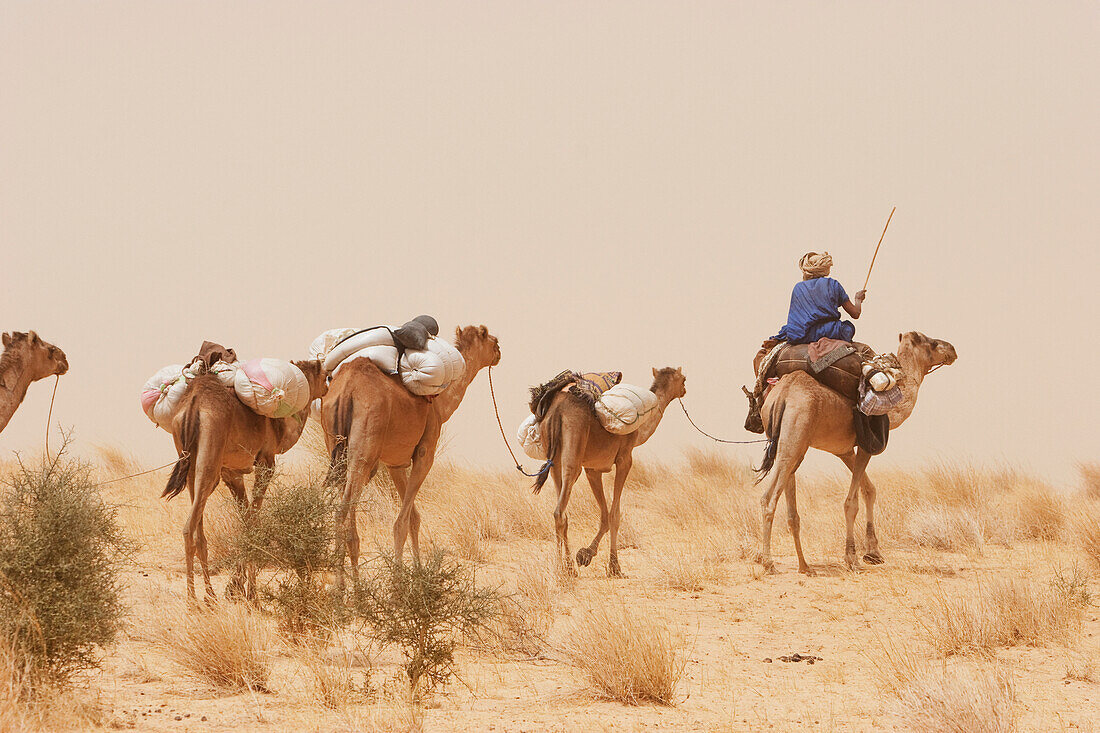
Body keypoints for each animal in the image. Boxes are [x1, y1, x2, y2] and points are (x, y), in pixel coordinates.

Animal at [161, 356, 325, 603]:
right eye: (326, 375)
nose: (327, 388)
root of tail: (193, 406)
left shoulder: (232, 473)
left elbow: (245, 521)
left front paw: (236, 586)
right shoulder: (266, 463)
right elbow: (253, 521)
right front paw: (250, 594)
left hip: (190, 462)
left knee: (199, 531)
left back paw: (210, 596)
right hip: (209, 461)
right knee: (189, 527)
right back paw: (193, 602)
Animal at [321, 323, 503, 585]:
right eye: (493, 341)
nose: (499, 354)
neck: (440, 404)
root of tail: (347, 388)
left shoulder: (395, 464)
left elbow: (414, 518)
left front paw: (416, 572)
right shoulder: (425, 453)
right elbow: (402, 522)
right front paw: (401, 582)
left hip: (336, 446)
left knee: (346, 521)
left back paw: (354, 588)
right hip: (363, 447)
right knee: (342, 513)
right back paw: (342, 590)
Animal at [532, 365, 686, 576]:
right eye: (684, 379)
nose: (684, 391)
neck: (639, 431)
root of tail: (557, 409)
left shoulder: (593, 469)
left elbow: (604, 516)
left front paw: (585, 555)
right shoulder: (624, 460)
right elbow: (614, 515)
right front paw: (613, 566)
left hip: (553, 457)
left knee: (561, 510)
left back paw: (563, 566)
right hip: (574, 447)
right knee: (559, 510)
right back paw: (568, 568)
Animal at [756, 327, 954, 572]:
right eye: (931, 343)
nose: (952, 349)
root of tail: (782, 395)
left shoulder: (845, 451)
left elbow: (870, 490)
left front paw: (873, 552)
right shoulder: (868, 443)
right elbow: (852, 502)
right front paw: (852, 558)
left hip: (785, 439)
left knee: (790, 509)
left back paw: (804, 566)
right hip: (793, 439)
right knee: (769, 497)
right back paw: (768, 562)